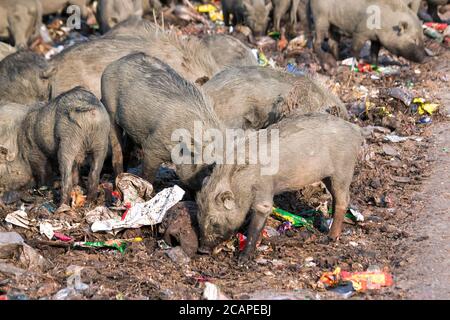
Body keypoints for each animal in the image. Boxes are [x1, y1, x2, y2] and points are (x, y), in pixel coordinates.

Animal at [103, 53, 225, 190]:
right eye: (208, 166)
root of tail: (117, 61)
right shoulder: (153, 145)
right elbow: (148, 175)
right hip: (109, 108)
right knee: (117, 150)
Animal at [197, 114, 362, 264]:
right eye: (199, 217)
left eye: (214, 222)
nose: (202, 250)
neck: (239, 181)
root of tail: (355, 129)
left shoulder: (264, 193)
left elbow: (258, 222)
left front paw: (242, 260)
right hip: (330, 177)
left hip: (343, 172)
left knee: (343, 201)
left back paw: (329, 238)